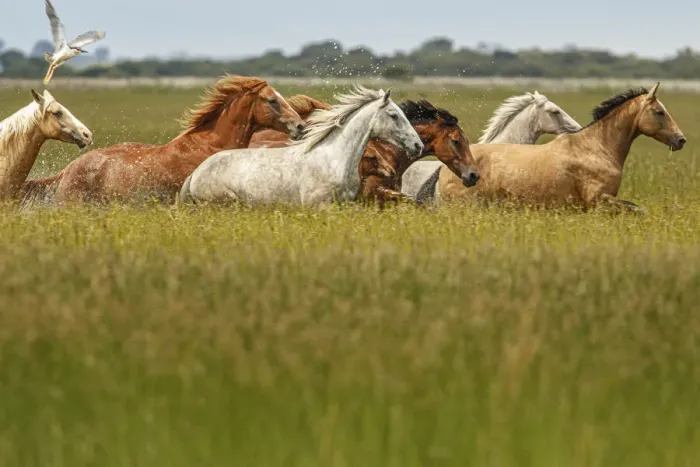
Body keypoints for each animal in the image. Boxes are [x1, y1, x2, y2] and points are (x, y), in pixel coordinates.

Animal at [438, 83, 686, 212]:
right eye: (659, 111)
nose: (681, 139)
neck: (596, 149)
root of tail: (444, 171)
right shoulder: (598, 200)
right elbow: (637, 210)